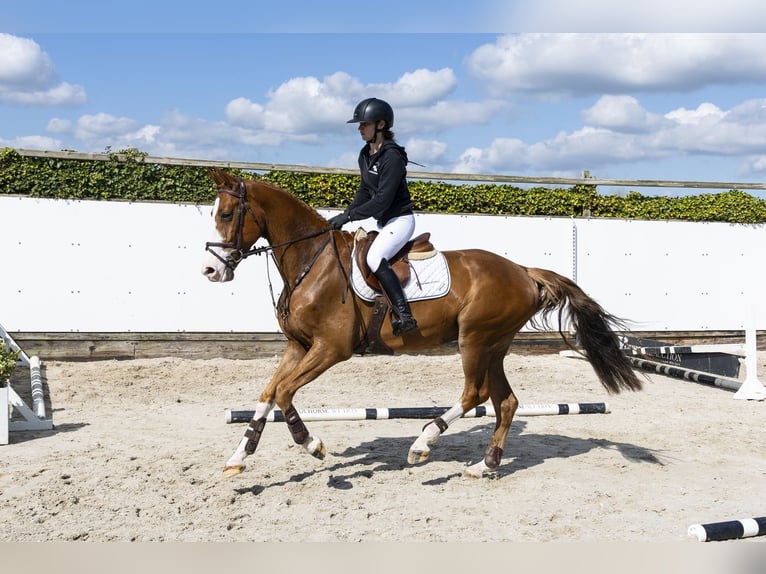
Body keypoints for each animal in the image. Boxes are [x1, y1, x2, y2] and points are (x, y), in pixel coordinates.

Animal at [201, 168, 643, 479]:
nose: (210, 271)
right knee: (505, 402)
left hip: (475, 339)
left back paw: (423, 442)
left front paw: (312, 444)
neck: (312, 261)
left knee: (476, 393)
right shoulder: (298, 346)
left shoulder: (330, 349)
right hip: (494, 344)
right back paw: (485, 464)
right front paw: (239, 456)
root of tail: (522, 270)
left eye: (226, 214)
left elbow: (285, 393)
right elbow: (268, 393)